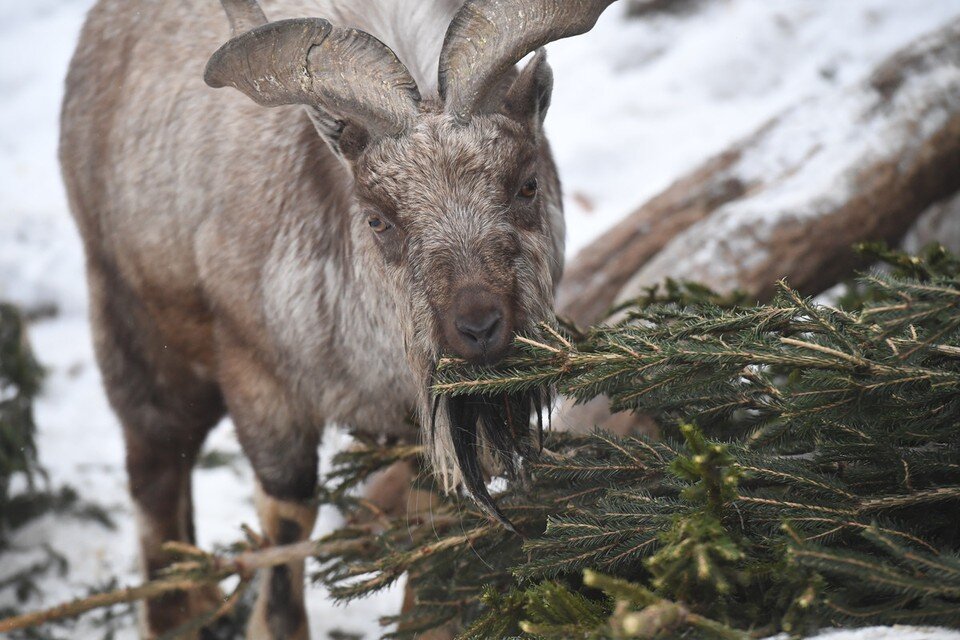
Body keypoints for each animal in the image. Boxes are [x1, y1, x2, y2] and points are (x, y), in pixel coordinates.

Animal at [60, 0, 616, 636]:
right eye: (378, 218)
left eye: (526, 184)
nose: (477, 329)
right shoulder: (260, 384)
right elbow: (285, 531)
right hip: (135, 324)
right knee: (155, 464)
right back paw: (178, 611)